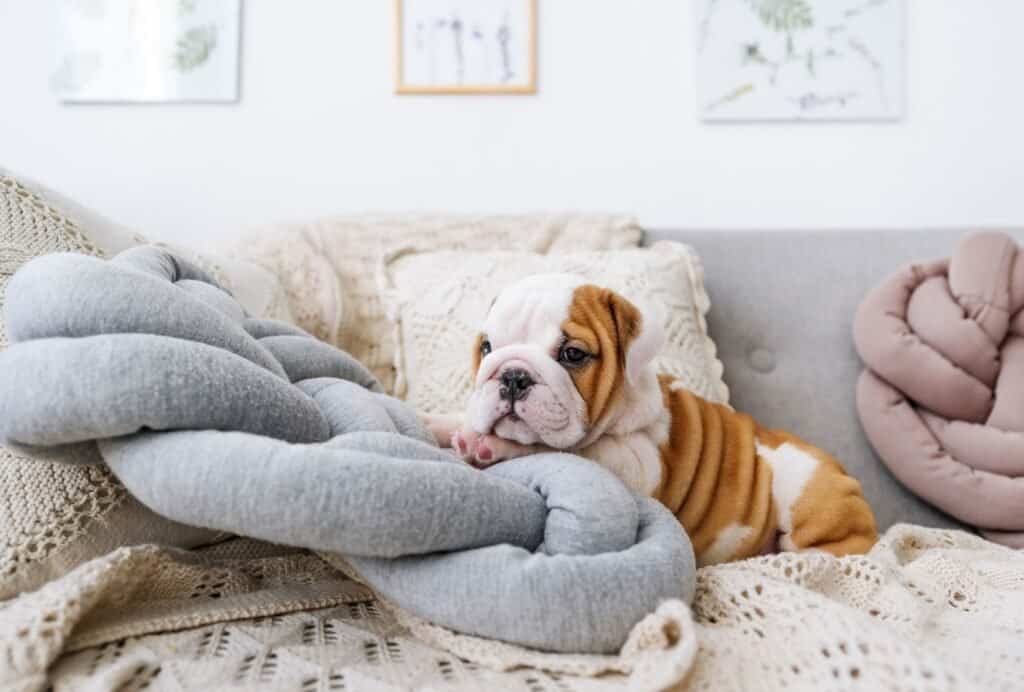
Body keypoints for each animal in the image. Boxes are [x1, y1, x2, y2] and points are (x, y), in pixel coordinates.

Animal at [434, 276, 880, 569]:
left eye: (573, 354)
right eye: (487, 347)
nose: (512, 375)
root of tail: (846, 476)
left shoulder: (634, 464)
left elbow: (567, 450)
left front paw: (492, 446)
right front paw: (441, 422)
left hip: (806, 491)